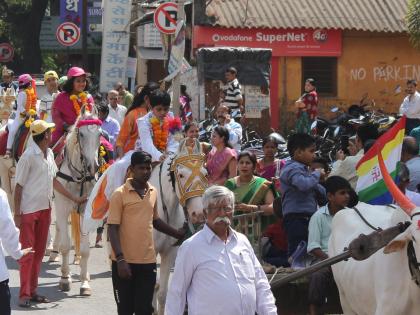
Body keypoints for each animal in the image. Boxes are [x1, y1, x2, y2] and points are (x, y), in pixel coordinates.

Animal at [54, 108, 101, 296]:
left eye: (100, 134)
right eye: (81, 134)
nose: (93, 167)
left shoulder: (86, 209)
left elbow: (86, 250)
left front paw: (84, 283)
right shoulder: (61, 206)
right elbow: (66, 245)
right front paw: (64, 279)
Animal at [83, 139, 207, 314]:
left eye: (205, 173)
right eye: (181, 174)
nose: (199, 214)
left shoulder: (170, 253)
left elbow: (162, 292)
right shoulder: (150, 253)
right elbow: (151, 289)